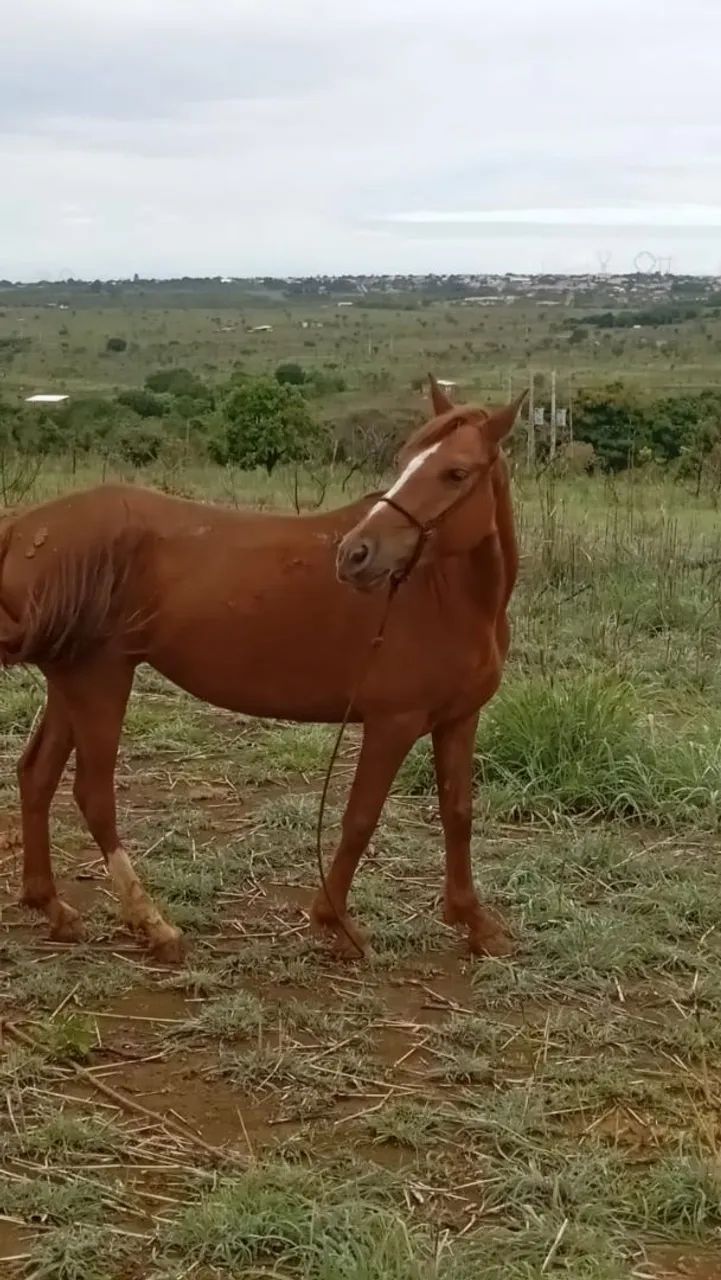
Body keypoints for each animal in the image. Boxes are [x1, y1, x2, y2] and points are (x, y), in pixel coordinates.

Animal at [0, 376, 525, 963]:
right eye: (404, 460)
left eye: (456, 473)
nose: (356, 555)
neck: (448, 596)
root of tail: (23, 528)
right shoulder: (393, 723)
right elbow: (360, 819)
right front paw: (335, 923)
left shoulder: (458, 719)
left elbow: (458, 815)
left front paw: (475, 922)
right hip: (100, 680)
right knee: (94, 796)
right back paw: (154, 925)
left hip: (71, 681)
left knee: (36, 775)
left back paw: (51, 907)